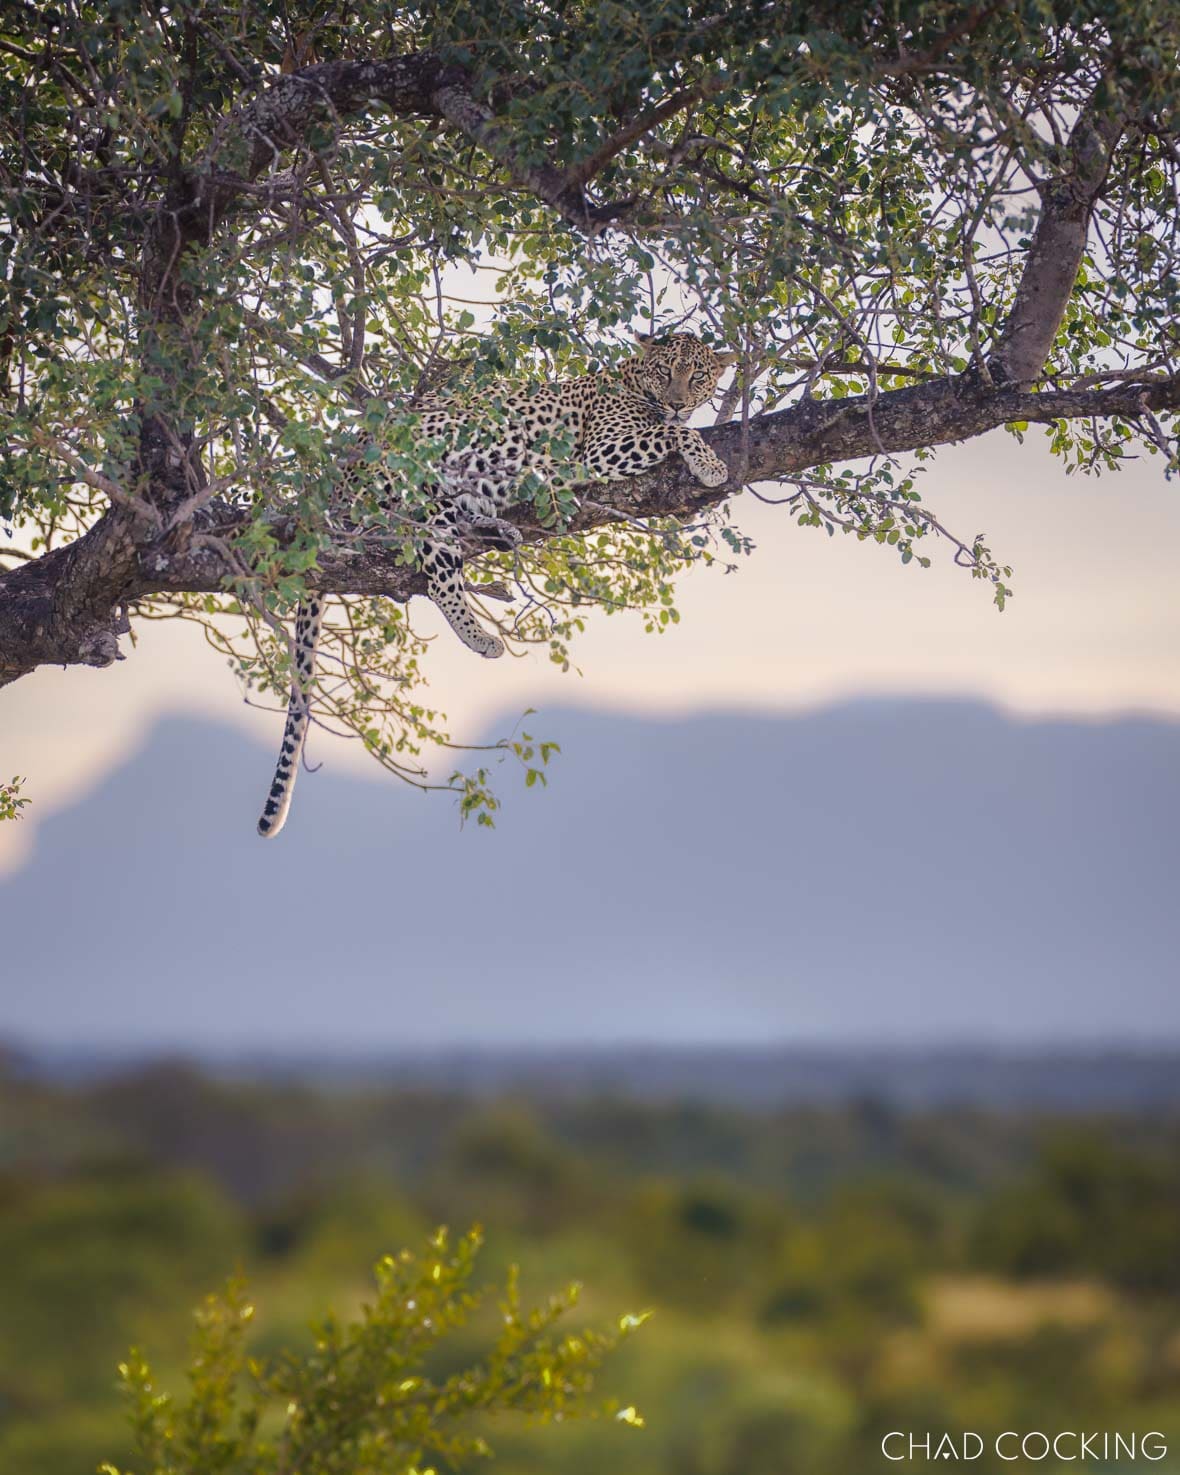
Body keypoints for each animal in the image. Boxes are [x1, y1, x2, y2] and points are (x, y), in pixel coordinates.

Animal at [257, 332, 737, 838]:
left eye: (697, 376)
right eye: (665, 372)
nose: (678, 402)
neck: (634, 383)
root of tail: (338, 481)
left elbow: (674, 433)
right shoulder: (600, 449)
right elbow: (676, 434)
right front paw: (710, 465)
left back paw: (500, 530)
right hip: (423, 491)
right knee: (439, 575)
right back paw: (482, 637)